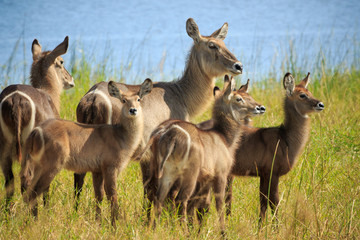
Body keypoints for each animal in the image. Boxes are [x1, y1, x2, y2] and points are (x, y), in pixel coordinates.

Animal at [0, 36, 74, 209]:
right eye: (61, 62)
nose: (71, 80)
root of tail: (16, 99)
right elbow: (46, 184)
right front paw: (47, 208)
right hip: (28, 150)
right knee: (26, 180)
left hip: (4, 147)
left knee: (9, 180)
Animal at [20, 79, 152, 227]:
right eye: (123, 100)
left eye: (138, 99)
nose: (133, 110)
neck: (121, 135)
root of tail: (36, 130)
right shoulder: (110, 167)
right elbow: (112, 196)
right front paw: (115, 225)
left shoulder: (97, 170)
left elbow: (99, 194)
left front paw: (98, 222)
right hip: (52, 165)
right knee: (33, 193)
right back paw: (34, 224)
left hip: (36, 165)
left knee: (27, 188)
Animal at [74, 18, 243, 210]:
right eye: (212, 45)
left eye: (224, 43)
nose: (238, 66)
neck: (182, 95)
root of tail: (93, 97)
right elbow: (157, 191)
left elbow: (148, 191)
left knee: (79, 179)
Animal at [144, 76, 264, 234]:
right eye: (239, 98)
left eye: (249, 96)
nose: (260, 107)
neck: (224, 137)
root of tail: (171, 134)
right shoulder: (220, 175)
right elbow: (219, 205)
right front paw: (223, 232)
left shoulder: (206, 180)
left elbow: (204, 207)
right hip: (189, 175)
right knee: (180, 199)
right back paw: (184, 233)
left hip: (167, 173)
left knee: (159, 198)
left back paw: (154, 230)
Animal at [226, 72, 324, 226]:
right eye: (302, 95)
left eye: (310, 92)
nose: (320, 104)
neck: (285, 139)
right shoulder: (273, 173)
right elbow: (274, 203)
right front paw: (277, 227)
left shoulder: (264, 174)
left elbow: (263, 202)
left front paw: (261, 227)